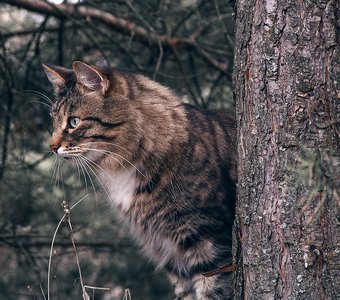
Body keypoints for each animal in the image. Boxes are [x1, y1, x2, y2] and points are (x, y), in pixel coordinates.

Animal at [42, 61, 236, 300]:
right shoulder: (168, 252)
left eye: (74, 122)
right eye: (54, 120)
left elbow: (213, 291)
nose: (51, 147)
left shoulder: (210, 240)